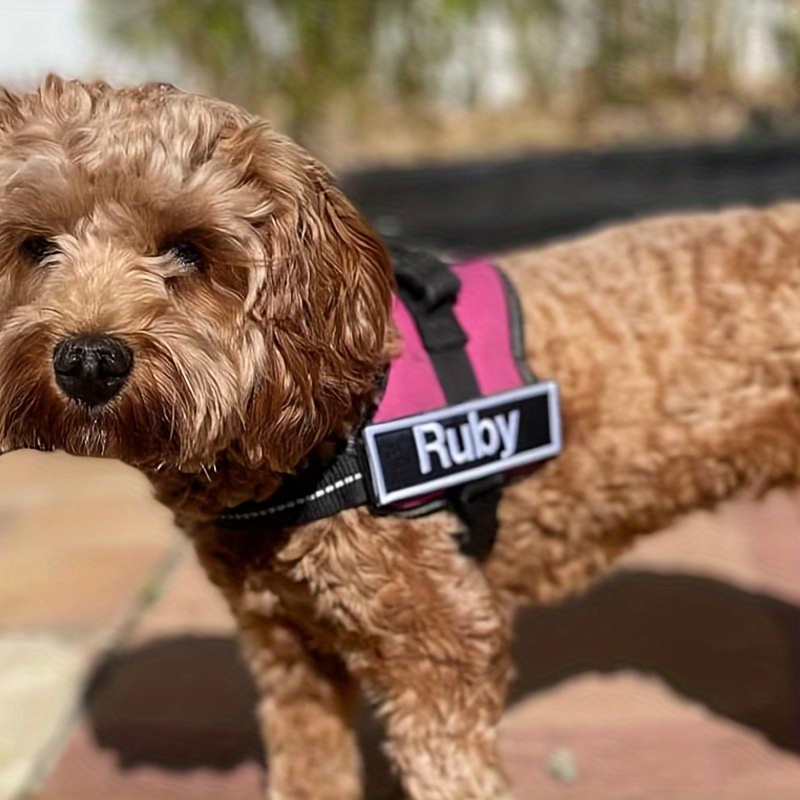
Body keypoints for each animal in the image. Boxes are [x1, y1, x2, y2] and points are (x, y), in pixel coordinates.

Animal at [1, 76, 800, 800]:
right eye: (37, 247)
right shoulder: (288, 649)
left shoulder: (443, 648)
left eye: (189, 251)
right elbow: (311, 773)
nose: (87, 360)